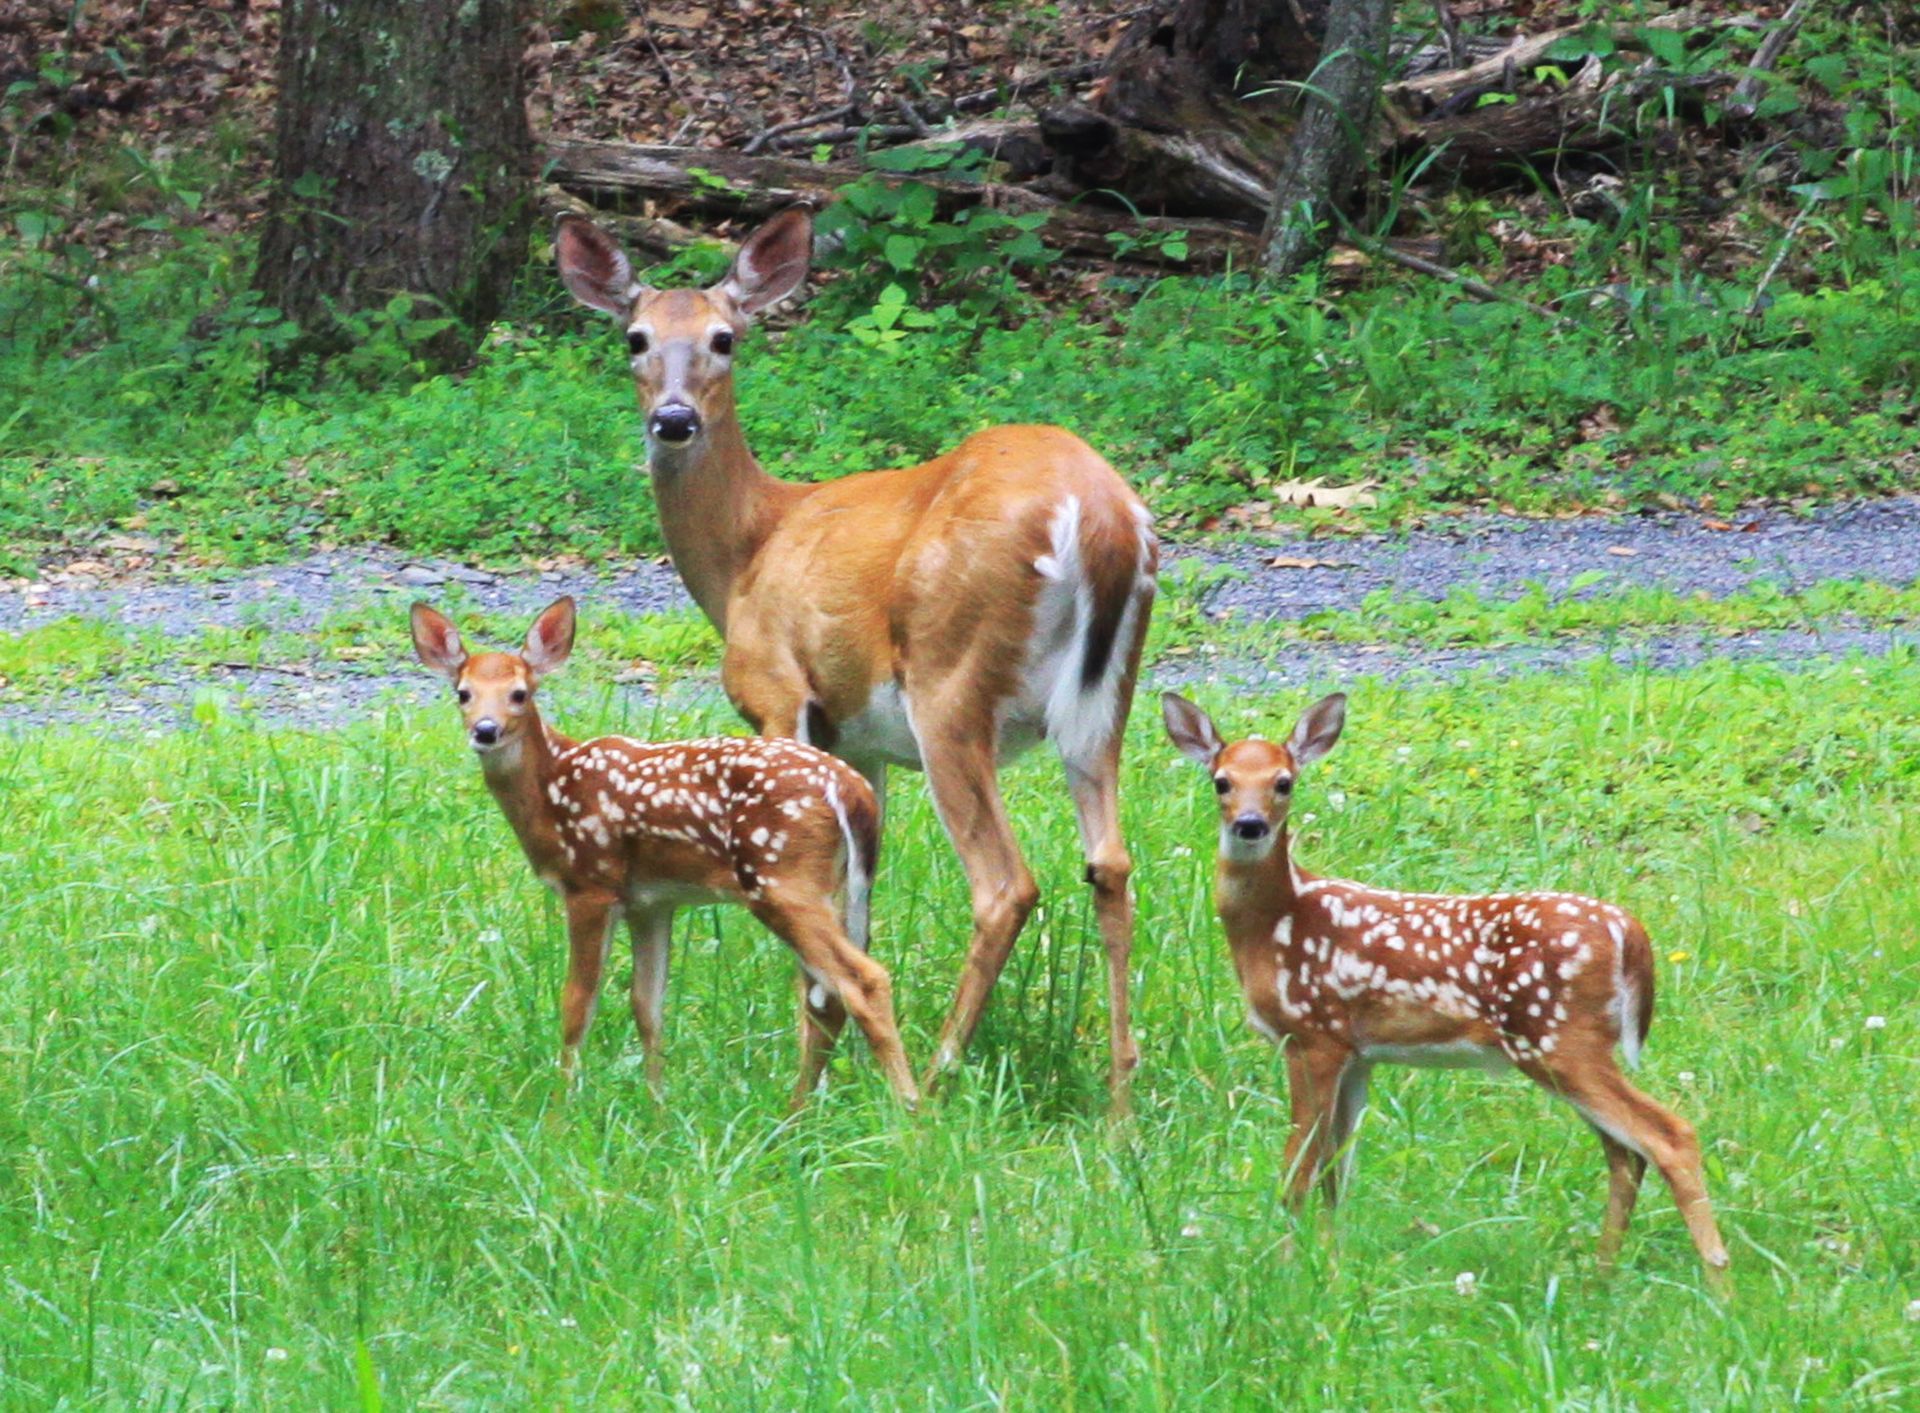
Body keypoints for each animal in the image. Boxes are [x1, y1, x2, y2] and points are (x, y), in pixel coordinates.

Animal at [410, 596, 920, 1110]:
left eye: (519, 693)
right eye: (462, 693)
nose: (485, 730)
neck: (552, 788)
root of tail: (851, 793)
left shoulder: (591, 884)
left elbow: (577, 1004)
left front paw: (560, 1109)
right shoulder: (652, 902)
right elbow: (647, 1006)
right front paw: (657, 1107)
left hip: (782, 879)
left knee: (861, 980)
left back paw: (909, 1109)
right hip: (834, 883)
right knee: (825, 993)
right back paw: (798, 1111)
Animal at [555, 207, 1159, 1114]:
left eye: (725, 338)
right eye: (635, 337)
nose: (673, 419)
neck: (749, 548)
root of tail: (1101, 515)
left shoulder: (778, 694)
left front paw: (803, 1099)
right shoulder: (858, 747)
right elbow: (857, 907)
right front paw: (821, 1079)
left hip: (950, 681)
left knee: (1005, 885)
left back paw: (936, 1080)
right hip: (1105, 697)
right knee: (1111, 866)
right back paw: (1118, 1101)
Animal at [1161, 690, 1732, 1290]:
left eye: (1283, 782)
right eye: (1221, 781)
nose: (1249, 825)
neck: (1275, 924)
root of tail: (1630, 931)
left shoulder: (1313, 1033)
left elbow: (1298, 1170)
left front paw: (1287, 1270)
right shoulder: (1358, 1054)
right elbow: (1337, 1173)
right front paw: (1330, 1268)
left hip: (1558, 1037)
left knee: (1669, 1135)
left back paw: (1718, 1283)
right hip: (1565, 1048)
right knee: (1626, 1153)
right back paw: (1600, 1277)